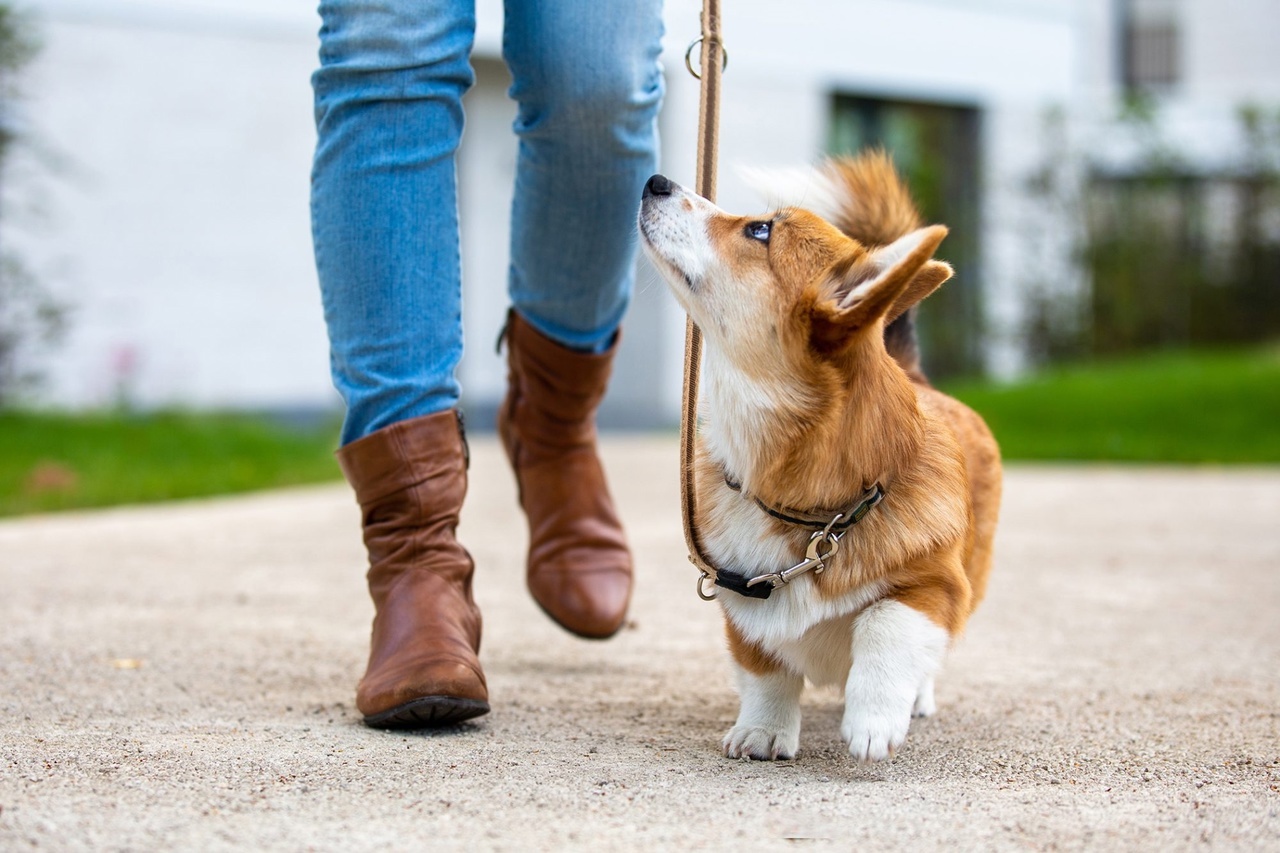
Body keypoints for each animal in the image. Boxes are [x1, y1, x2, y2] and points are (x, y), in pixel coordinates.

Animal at [640, 151, 998, 758]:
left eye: (760, 230)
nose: (655, 181)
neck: (813, 517)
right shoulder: (743, 598)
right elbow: (766, 669)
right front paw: (763, 731)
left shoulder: (936, 587)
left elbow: (886, 623)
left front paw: (873, 720)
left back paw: (916, 699)